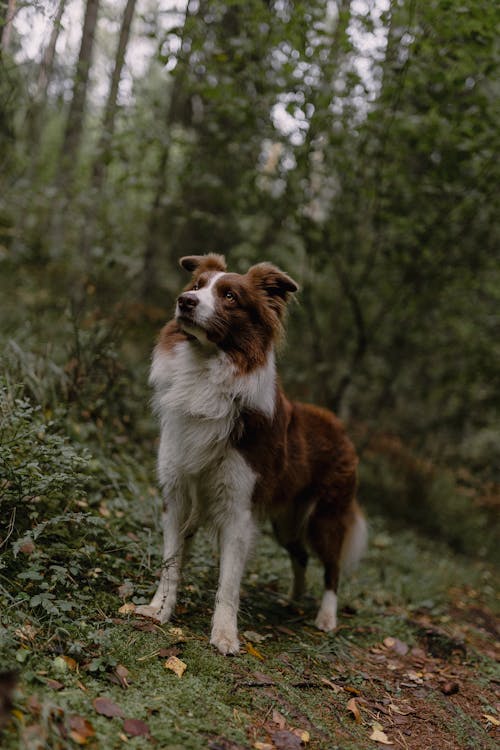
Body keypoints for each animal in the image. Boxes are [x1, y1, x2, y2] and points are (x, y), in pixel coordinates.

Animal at [137, 256, 368, 656]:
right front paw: (159, 611)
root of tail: (338, 426)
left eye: (230, 296)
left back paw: (325, 617)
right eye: (197, 285)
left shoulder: (238, 509)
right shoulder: (178, 495)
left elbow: (229, 582)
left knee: (332, 568)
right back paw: (293, 599)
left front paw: (225, 635)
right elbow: (170, 563)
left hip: (326, 517)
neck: (205, 372)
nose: (185, 301)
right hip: (285, 521)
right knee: (300, 554)